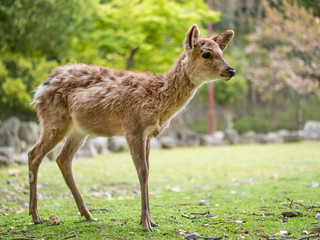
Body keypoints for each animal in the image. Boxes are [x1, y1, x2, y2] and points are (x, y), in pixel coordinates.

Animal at [28, 23, 235, 231]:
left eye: (221, 52)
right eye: (206, 54)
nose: (231, 70)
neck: (159, 100)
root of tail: (40, 88)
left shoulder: (149, 134)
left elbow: (148, 170)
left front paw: (151, 220)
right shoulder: (133, 127)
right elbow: (142, 171)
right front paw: (145, 224)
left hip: (78, 130)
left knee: (62, 159)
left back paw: (88, 215)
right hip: (55, 119)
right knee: (34, 153)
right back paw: (36, 216)